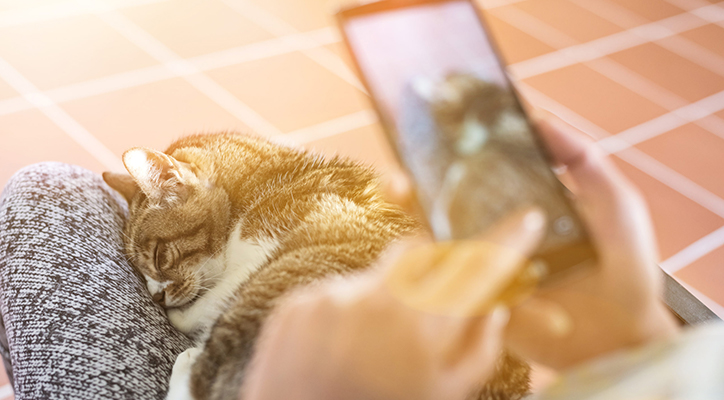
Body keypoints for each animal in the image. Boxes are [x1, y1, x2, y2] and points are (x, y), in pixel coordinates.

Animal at [102, 132, 528, 400]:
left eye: (159, 257)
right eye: (141, 270)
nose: (156, 299)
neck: (272, 178)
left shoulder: (258, 250)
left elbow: (205, 304)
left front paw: (183, 318)